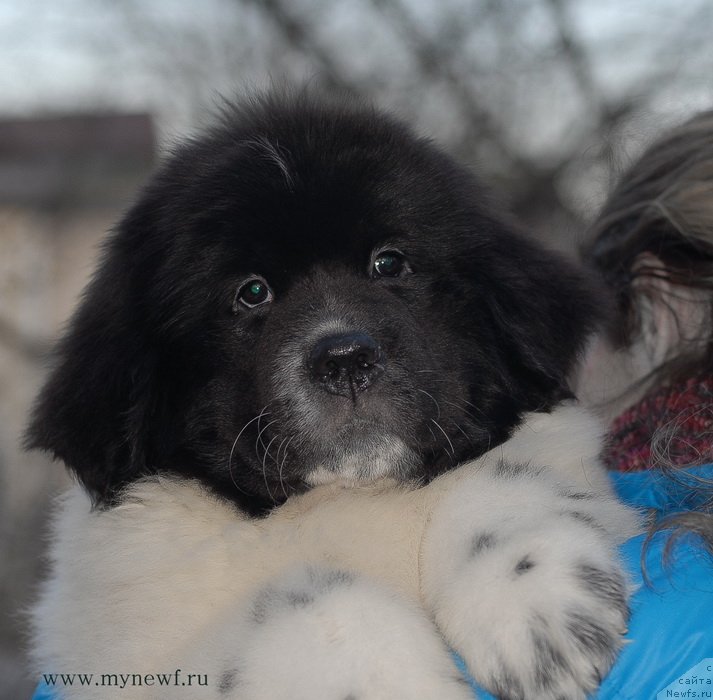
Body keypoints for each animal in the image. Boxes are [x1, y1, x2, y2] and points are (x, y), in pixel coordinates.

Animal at [26, 94, 640, 700]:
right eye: (252, 292)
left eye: (389, 262)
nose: (346, 359)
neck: (351, 496)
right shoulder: (135, 660)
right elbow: (302, 595)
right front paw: (380, 677)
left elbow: (506, 477)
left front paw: (532, 602)